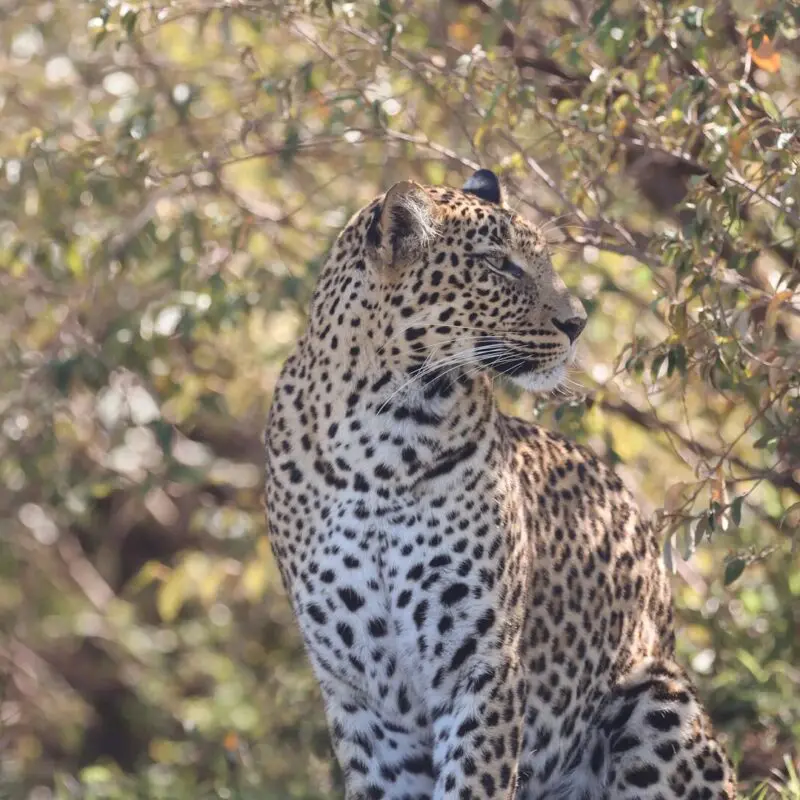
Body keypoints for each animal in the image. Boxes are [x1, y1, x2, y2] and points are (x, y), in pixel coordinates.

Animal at [264, 169, 736, 800]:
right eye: (498, 265)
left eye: (540, 260)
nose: (578, 322)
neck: (382, 440)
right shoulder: (362, 695)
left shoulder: (481, 665)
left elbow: (472, 783)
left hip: (658, 700)